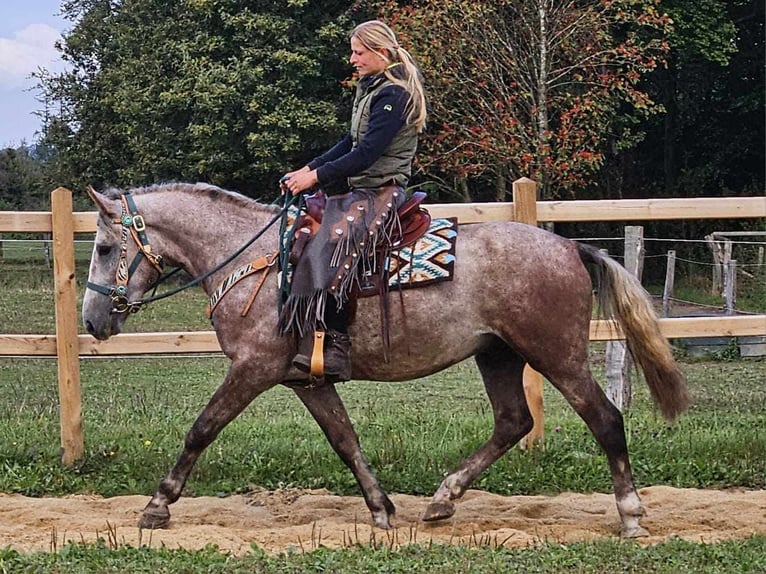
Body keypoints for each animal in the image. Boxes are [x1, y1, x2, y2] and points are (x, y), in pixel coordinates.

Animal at [81, 183, 688, 540]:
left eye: (106, 248)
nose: (92, 320)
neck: (255, 262)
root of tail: (570, 248)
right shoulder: (305, 381)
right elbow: (345, 439)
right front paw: (381, 508)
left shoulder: (252, 369)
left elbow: (201, 430)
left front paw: (158, 505)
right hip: (498, 356)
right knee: (513, 422)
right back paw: (442, 500)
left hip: (557, 356)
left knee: (605, 419)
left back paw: (631, 514)